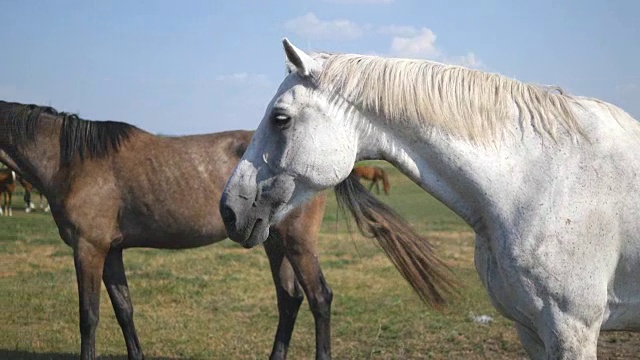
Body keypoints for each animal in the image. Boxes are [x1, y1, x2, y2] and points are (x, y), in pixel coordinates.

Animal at [0, 100, 338, 360]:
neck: (71, 162)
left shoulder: (88, 248)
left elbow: (89, 316)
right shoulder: (111, 251)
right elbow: (124, 310)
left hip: (298, 243)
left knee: (319, 298)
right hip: (275, 243)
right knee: (289, 299)